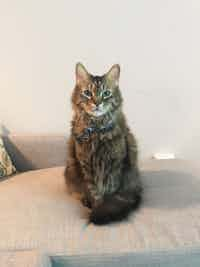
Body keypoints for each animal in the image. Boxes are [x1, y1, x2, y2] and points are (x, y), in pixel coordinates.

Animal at [64, 63, 142, 225]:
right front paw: (96, 207)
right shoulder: (86, 166)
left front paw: (103, 209)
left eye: (106, 93)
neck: (97, 130)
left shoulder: (115, 166)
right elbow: (93, 192)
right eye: (87, 93)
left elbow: (110, 193)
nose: (97, 103)